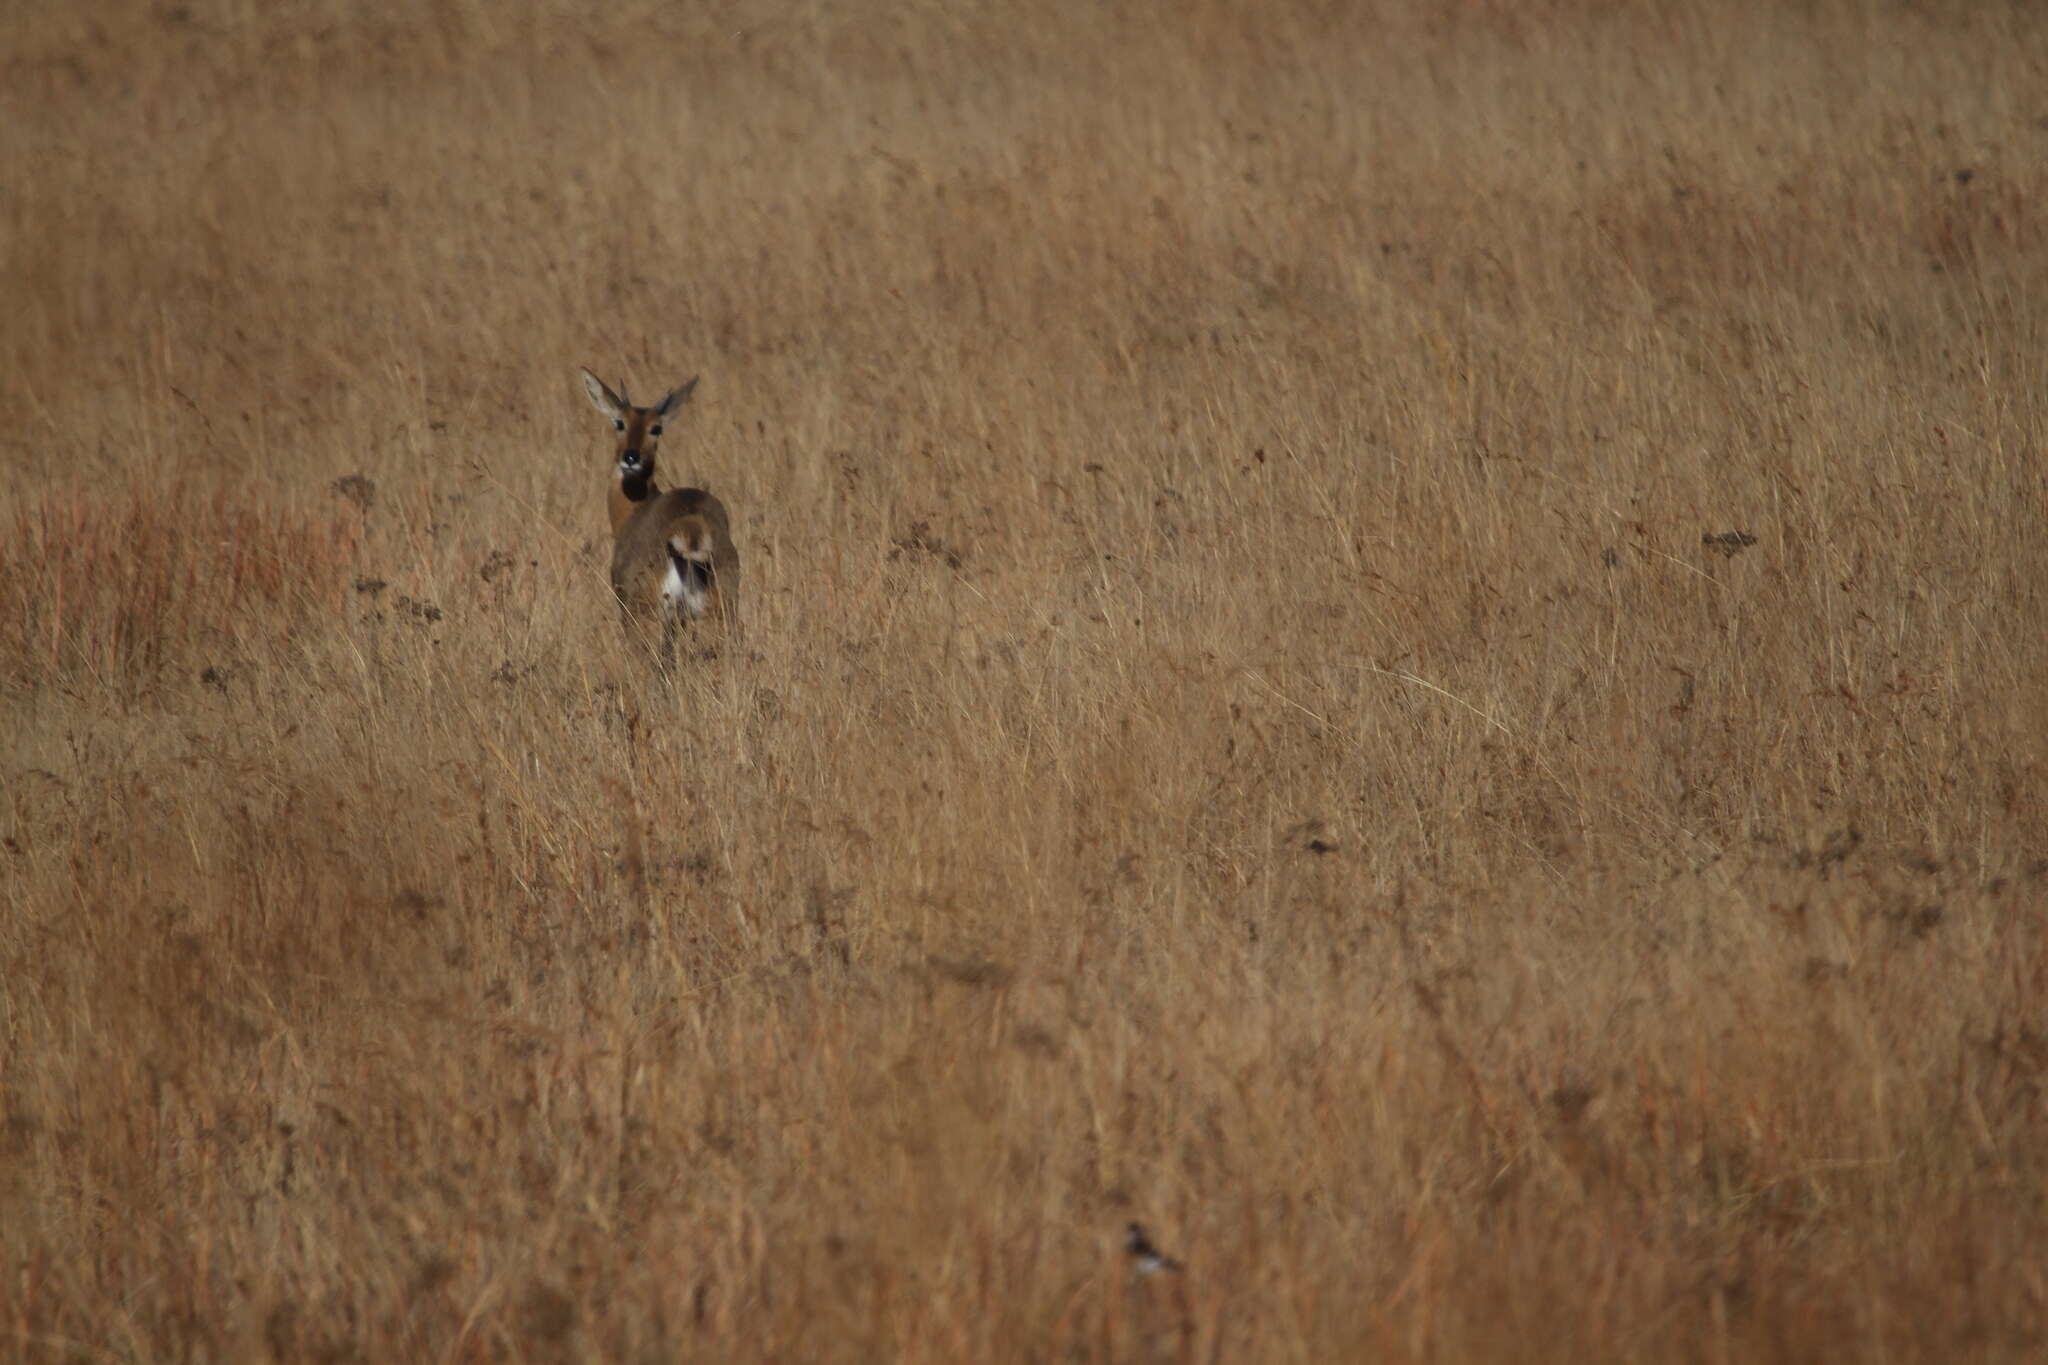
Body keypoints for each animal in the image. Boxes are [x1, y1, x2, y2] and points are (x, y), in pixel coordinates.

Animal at [581, 366, 741, 663]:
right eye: (620, 422)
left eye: (656, 428)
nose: (631, 457)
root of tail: (690, 529)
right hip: (720, 610)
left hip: (646, 614)